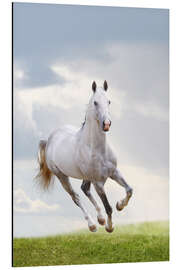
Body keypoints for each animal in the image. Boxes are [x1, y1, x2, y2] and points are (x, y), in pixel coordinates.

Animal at [36, 80, 132, 232]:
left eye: (109, 101)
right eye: (95, 102)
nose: (106, 124)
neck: (98, 149)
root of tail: (50, 140)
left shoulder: (114, 172)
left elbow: (129, 190)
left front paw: (120, 205)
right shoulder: (98, 183)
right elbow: (108, 207)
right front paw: (109, 227)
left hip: (86, 177)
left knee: (85, 189)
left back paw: (100, 219)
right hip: (62, 176)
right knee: (76, 197)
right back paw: (92, 225)